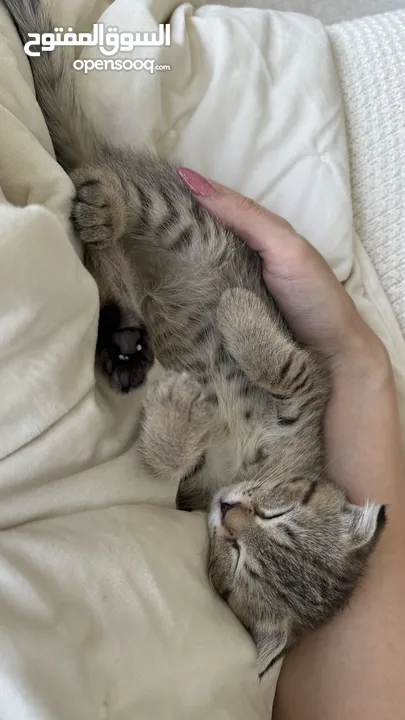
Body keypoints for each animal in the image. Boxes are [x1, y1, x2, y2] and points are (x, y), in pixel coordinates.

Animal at [4, 0, 386, 676]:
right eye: (279, 513)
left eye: (238, 564)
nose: (230, 513)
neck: (252, 465)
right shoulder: (311, 381)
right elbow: (288, 365)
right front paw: (238, 316)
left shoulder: (192, 492)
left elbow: (164, 465)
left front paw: (179, 413)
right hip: (190, 222)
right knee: (110, 189)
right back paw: (109, 210)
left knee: (108, 259)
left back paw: (124, 338)